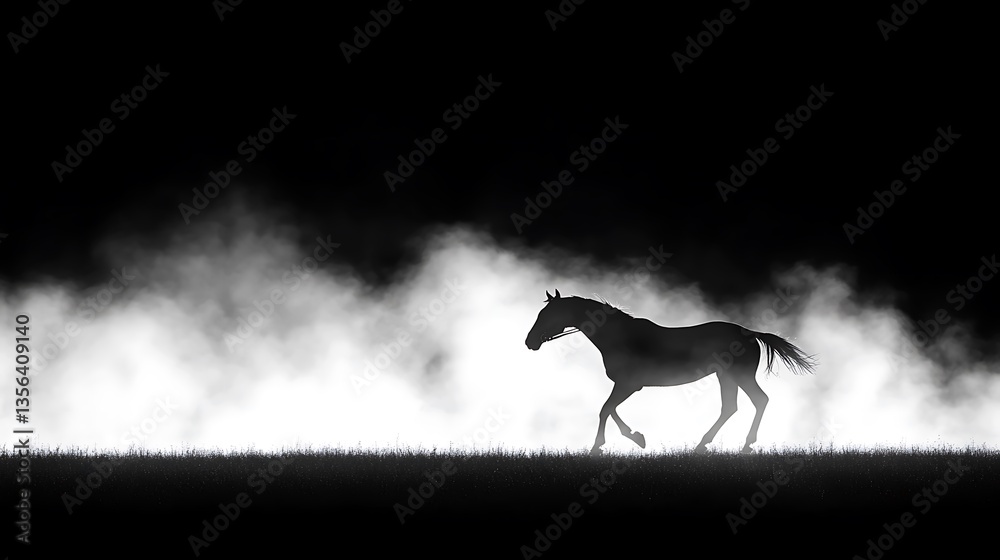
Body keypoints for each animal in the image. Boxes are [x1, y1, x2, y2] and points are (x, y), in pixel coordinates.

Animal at [524, 290, 817, 455]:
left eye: (546, 314)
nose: (530, 342)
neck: (619, 337)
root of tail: (749, 333)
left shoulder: (629, 385)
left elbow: (605, 409)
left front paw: (601, 445)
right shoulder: (626, 385)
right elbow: (610, 409)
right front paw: (636, 437)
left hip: (739, 376)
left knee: (758, 400)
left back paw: (745, 444)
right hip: (726, 377)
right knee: (731, 407)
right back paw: (703, 445)